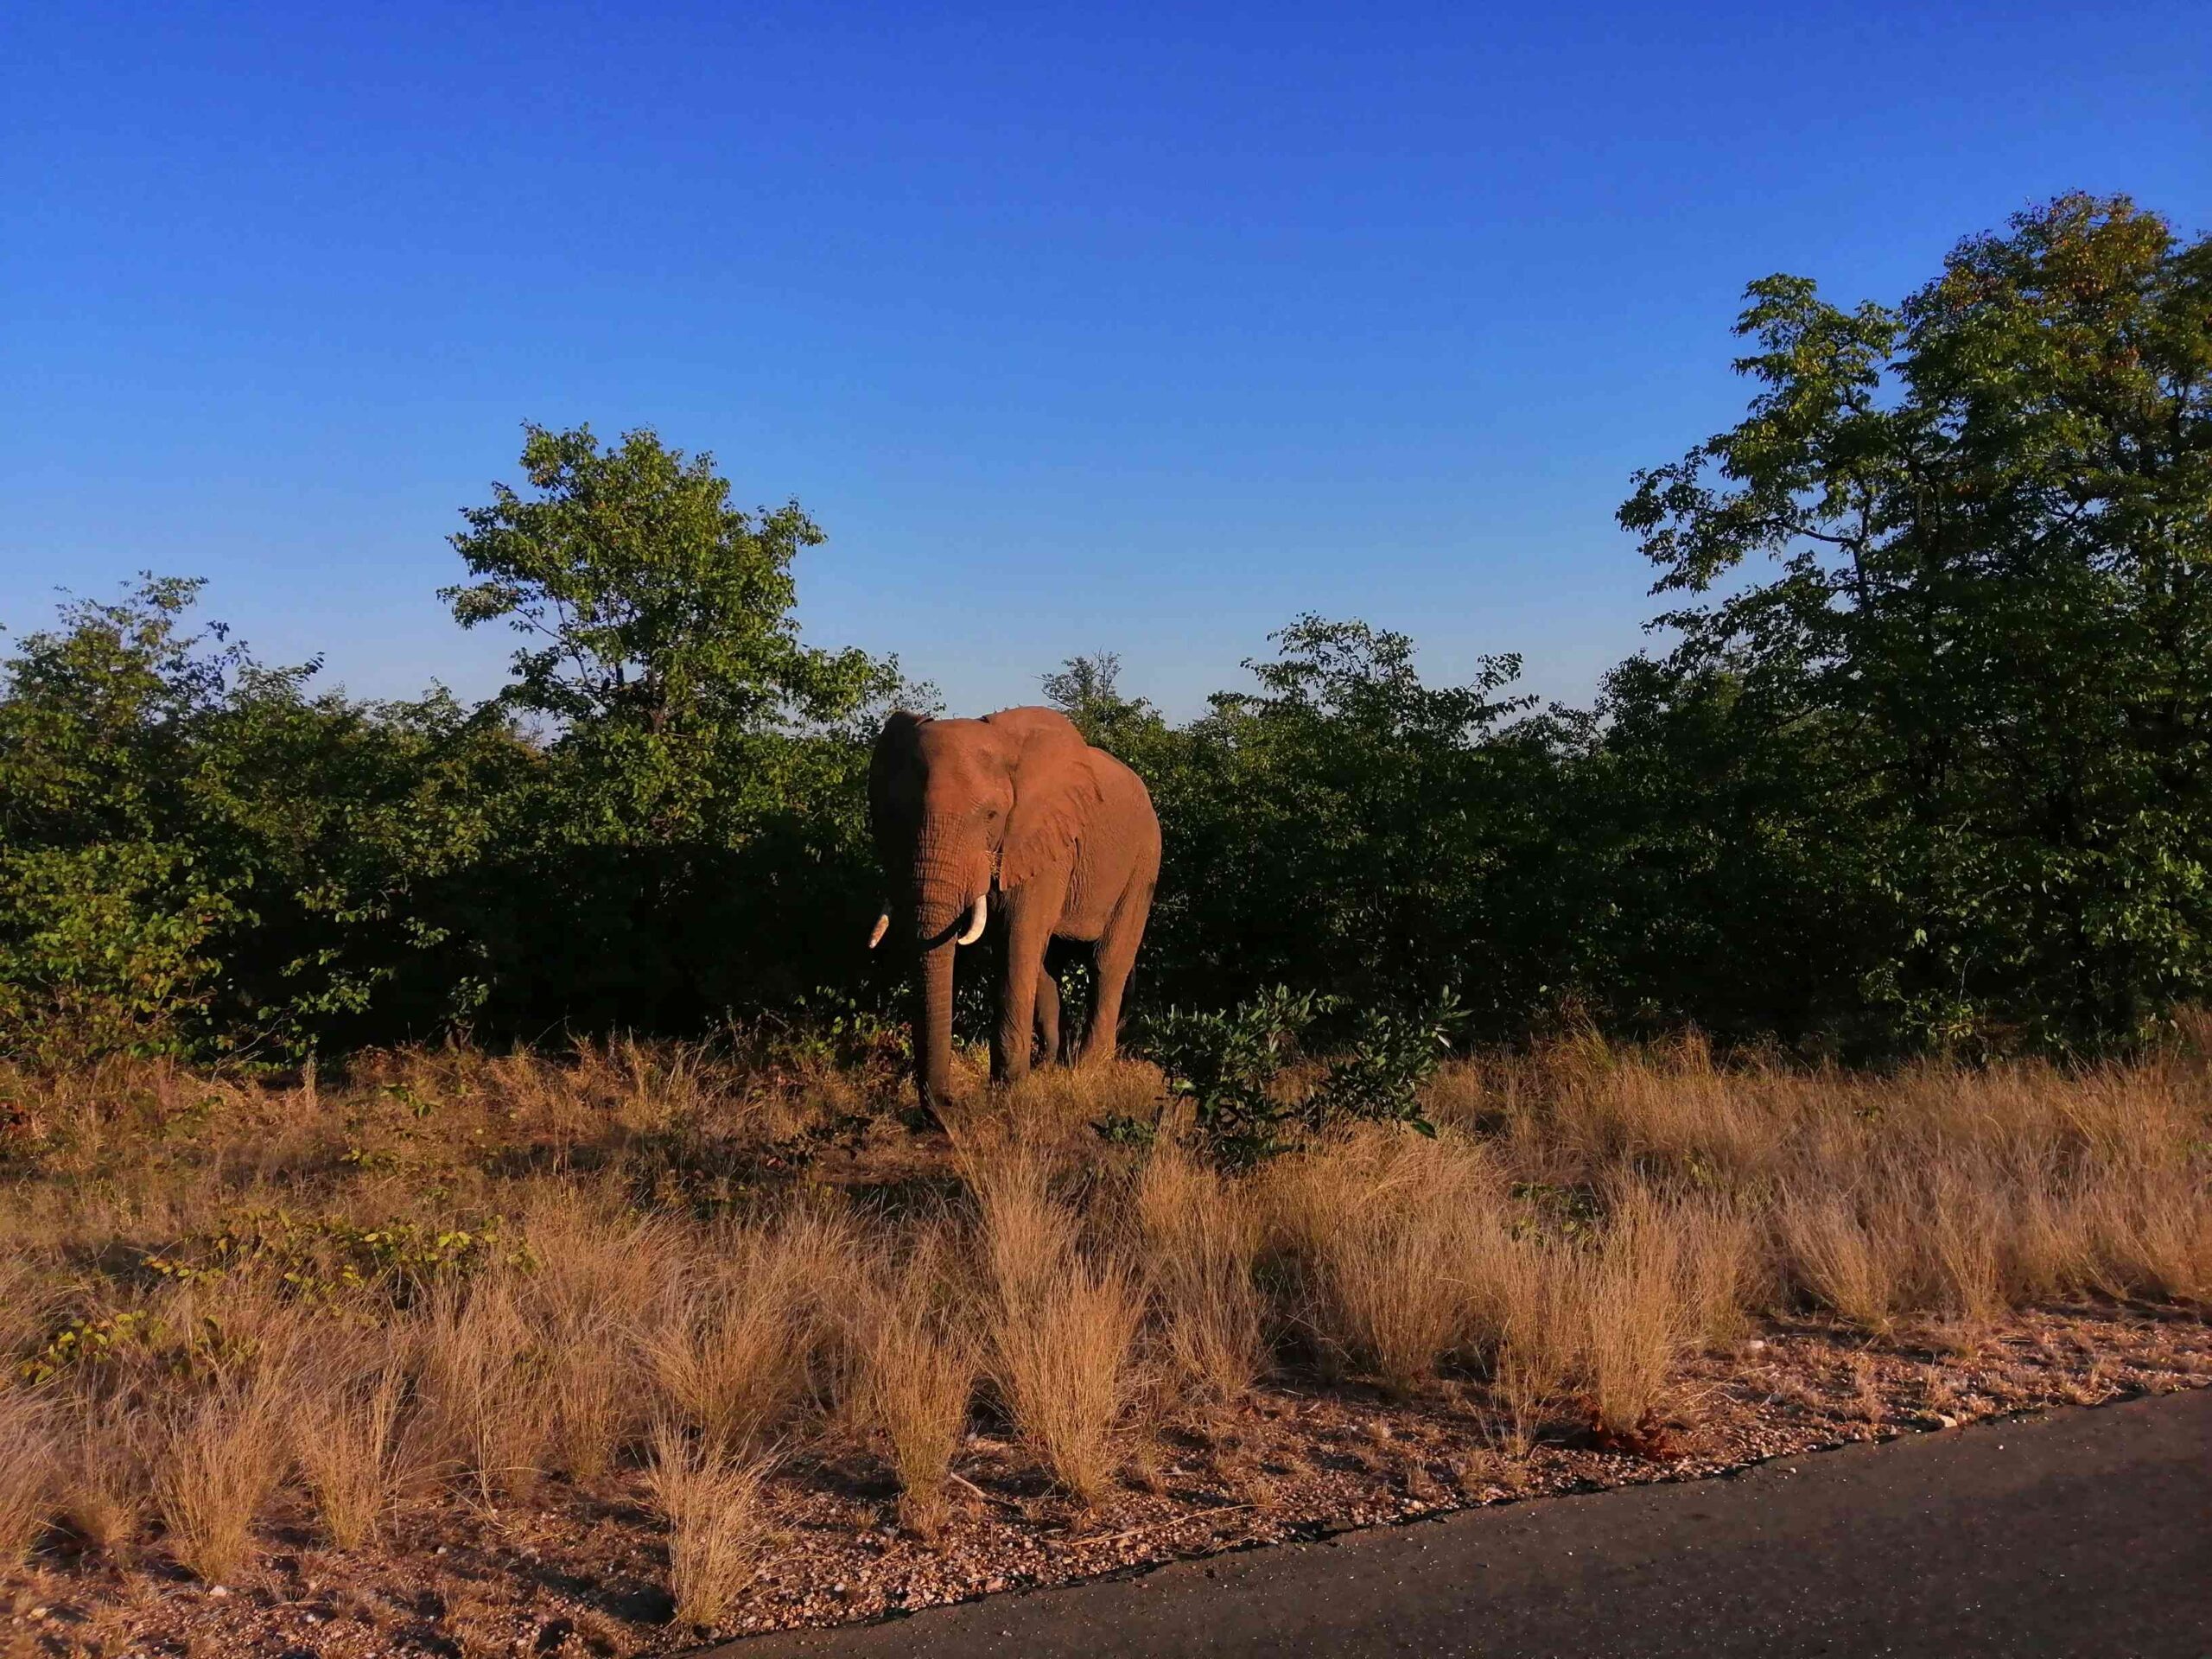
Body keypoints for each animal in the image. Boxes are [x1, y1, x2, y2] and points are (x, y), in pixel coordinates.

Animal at [867, 703, 1167, 1119]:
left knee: (1107, 962)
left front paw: (1008, 1091)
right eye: (896, 815)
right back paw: (1051, 1066)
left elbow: (1016, 942)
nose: (948, 1108)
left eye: (992, 816)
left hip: (1143, 863)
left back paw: (1087, 1068)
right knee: (1049, 963)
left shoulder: (1043, 842)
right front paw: (1023, 1080)